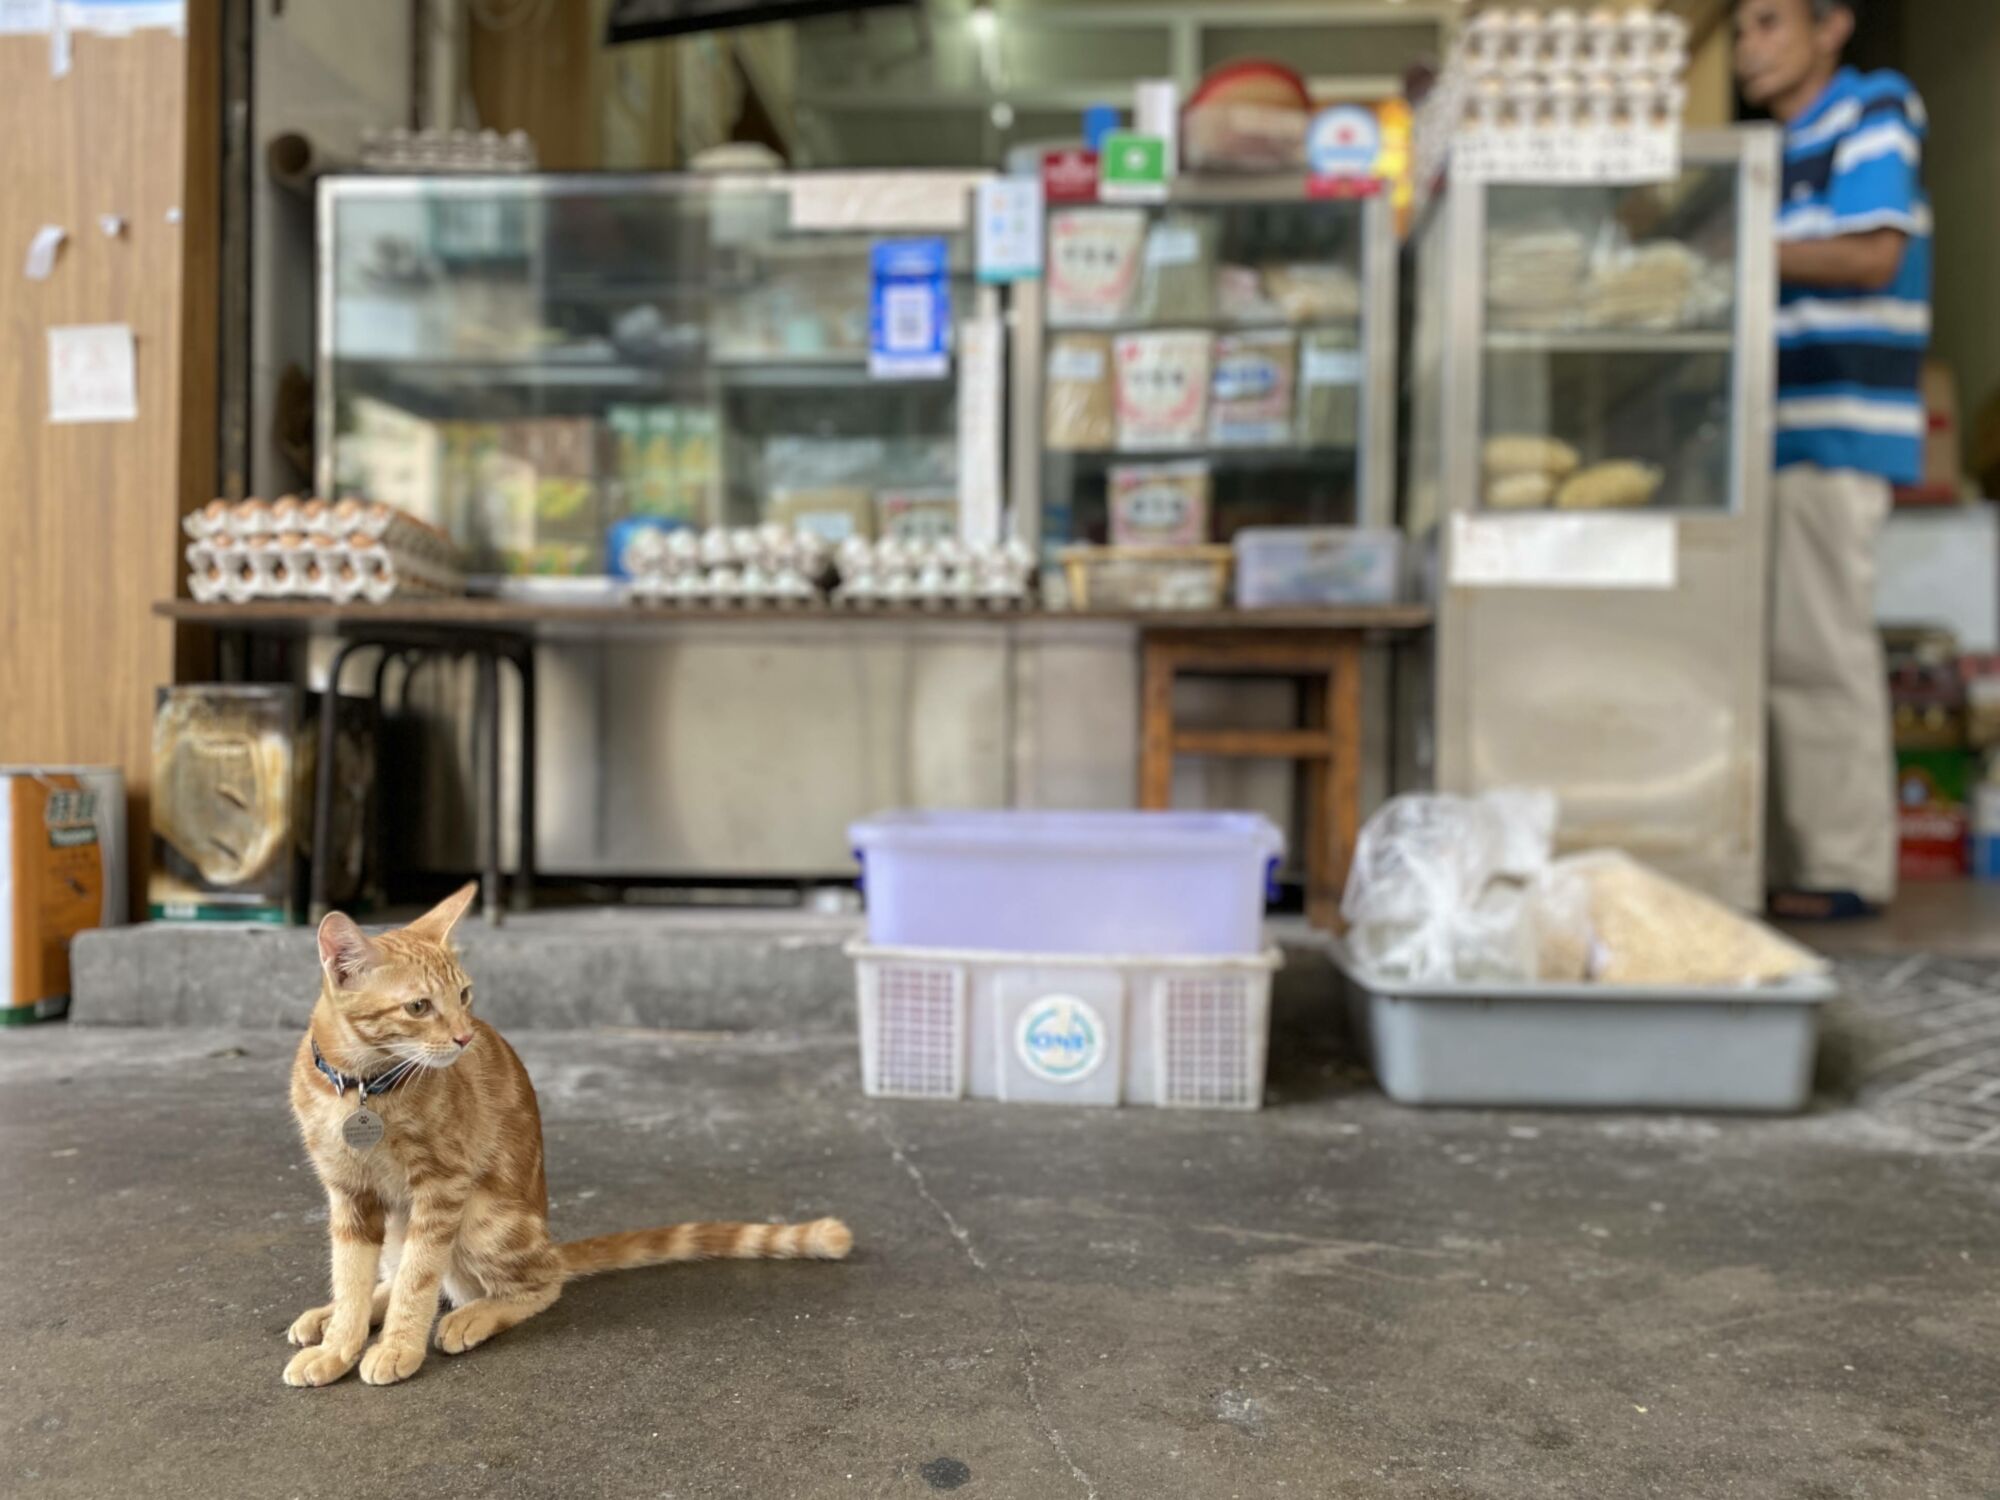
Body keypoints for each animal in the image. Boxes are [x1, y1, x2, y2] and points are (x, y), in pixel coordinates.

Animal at [284, 888, 852, 1392]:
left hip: (484, 1219)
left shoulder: (442, 1188)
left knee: (537, 1282)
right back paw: (327, 1317)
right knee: (397, 1274)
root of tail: (549, 1241)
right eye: (419, 1007)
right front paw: (340, 1342)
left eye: (463, 996)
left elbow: (420, 1279)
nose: (465, 1037)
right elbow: (352, 1276)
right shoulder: (348, 1196)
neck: (362, 1086)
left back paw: (472, 1315)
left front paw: (399, 1346)